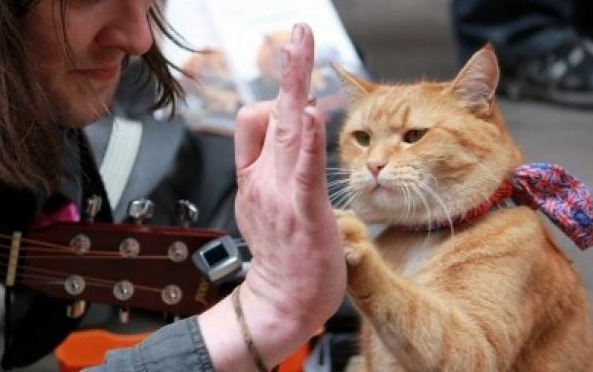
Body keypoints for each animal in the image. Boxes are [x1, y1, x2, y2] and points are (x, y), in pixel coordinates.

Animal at [330, 44, 592, 372]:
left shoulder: (478, 351)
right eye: (363, 138)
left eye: (414, 136)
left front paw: (353, 241)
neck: (419, 237)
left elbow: (409, 306)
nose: (374, 165)